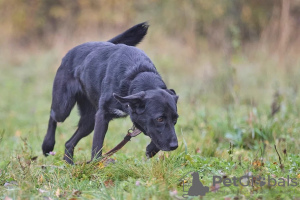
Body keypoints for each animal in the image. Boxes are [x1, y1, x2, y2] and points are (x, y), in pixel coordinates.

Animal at [41, 22, 178, 164]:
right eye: (159, 119)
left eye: (175, 119)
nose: (175, 146)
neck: (137, 74)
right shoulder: (102, 115)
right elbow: (97, 145)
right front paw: (96, 163)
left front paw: (151, 149)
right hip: (64, 107)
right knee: (53, 115)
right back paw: (47, 145)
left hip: (89, 120)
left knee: (69, 142)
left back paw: (69, 163)